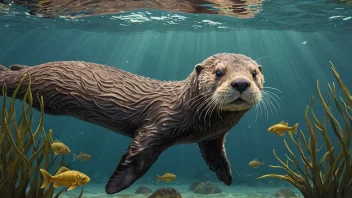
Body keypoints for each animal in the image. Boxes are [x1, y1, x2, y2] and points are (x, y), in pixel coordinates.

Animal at [0, 53, 264, 194]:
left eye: (254, 73)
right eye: (219, 72)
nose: (241, 83)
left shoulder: (212, 137)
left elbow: (216, 156)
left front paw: (225, 175)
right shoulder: (158, 123)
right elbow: (138, 158)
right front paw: (114, 186)